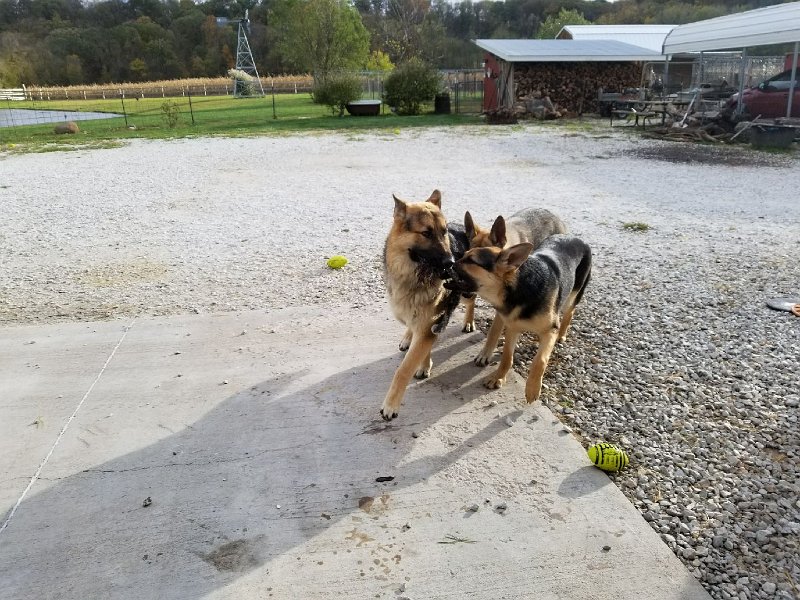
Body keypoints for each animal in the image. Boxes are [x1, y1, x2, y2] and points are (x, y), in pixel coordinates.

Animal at [450, 234, 592, 404]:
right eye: (464, 255)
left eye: (471, 260)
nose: (449, 263)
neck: (520, 287)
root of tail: (575, 237)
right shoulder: (513, 327)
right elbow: (506, 356)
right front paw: (498, 377)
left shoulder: (550, 330)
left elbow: (540, 360)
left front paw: (532, 389)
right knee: (495, 331)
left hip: (573, 296)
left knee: (569, 313)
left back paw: (562, 335)